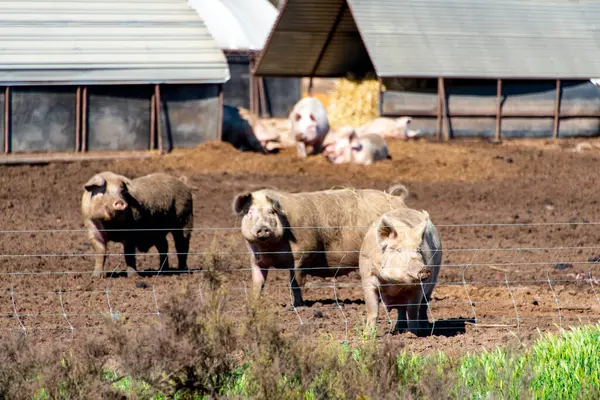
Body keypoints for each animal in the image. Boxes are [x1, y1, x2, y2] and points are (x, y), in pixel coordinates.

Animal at [232, 183, 410, 308]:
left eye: (271, 212)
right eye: (249, 212)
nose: (263, 228)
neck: (271, 249)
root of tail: (398, 200)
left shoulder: (302, 254)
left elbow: (296, 283)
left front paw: (299, 306)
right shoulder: (256, 259)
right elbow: (258, 283)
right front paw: (253, 304)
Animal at [358, 208, 442, 336]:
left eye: (418, 250)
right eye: (398, 250)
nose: (424, 269)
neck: (394, 283)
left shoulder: (418, 288)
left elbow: (412, 310)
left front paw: (413, 334)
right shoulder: (367, 280)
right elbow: (372, 310)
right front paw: (367, 335)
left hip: (433, 281)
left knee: (423, 305)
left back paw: (424, 329)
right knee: (401, 309)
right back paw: (399, 329)